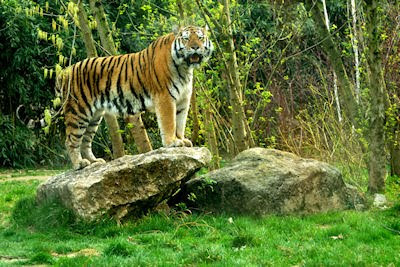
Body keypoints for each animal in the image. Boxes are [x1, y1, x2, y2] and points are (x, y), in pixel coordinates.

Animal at [56, 26, 214, 171]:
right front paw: (172, 143)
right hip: (79, 111)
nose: (195, 47)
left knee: (85, 140)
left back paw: (94, 161)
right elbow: (169, 122)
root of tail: (65, 72)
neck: (184, 67)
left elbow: (180, 123)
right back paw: (79, 164)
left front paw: (182, 140)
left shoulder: (183, 101)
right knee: (71, 140)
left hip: (95, 115)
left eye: (200, 38)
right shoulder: (165, 98)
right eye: (186, 38)